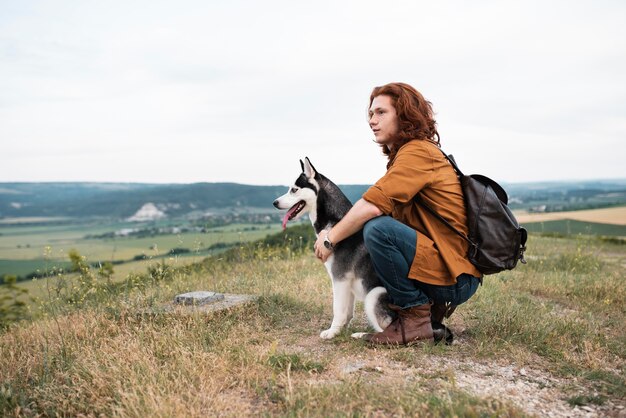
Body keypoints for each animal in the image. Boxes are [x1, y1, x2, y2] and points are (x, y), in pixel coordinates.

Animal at [272, 158, 392, 340]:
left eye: (294, 189)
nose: (275, 203)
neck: (334, 224)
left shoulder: (339, 278)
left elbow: (338, 310)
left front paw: (332, 332)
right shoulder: (346, 282)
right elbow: (347, 312)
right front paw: (341, 330)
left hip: (374, 294)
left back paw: (362, 335)